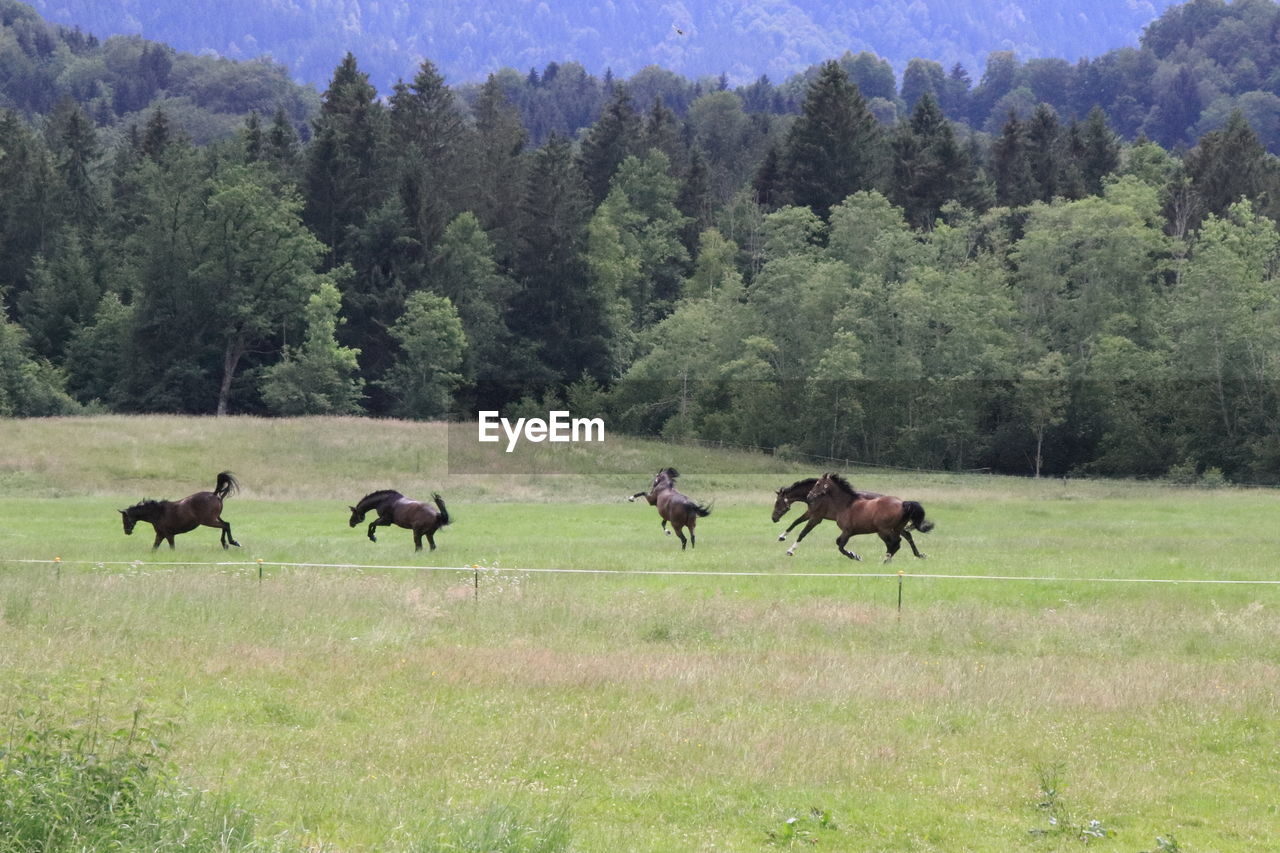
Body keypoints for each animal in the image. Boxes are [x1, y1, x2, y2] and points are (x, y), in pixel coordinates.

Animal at [803, 468, 936, 560]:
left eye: (818, 484)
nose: (809, 496)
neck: (846, 505)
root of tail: (902, 503)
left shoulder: (847, 531)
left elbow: (840, 546)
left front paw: (855, 556)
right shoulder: (848, 532)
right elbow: (838, 543)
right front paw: (854, 555)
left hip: (884, 530)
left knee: (895, 543)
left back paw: (885, 561)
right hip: (894, 529)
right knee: (898, 541)